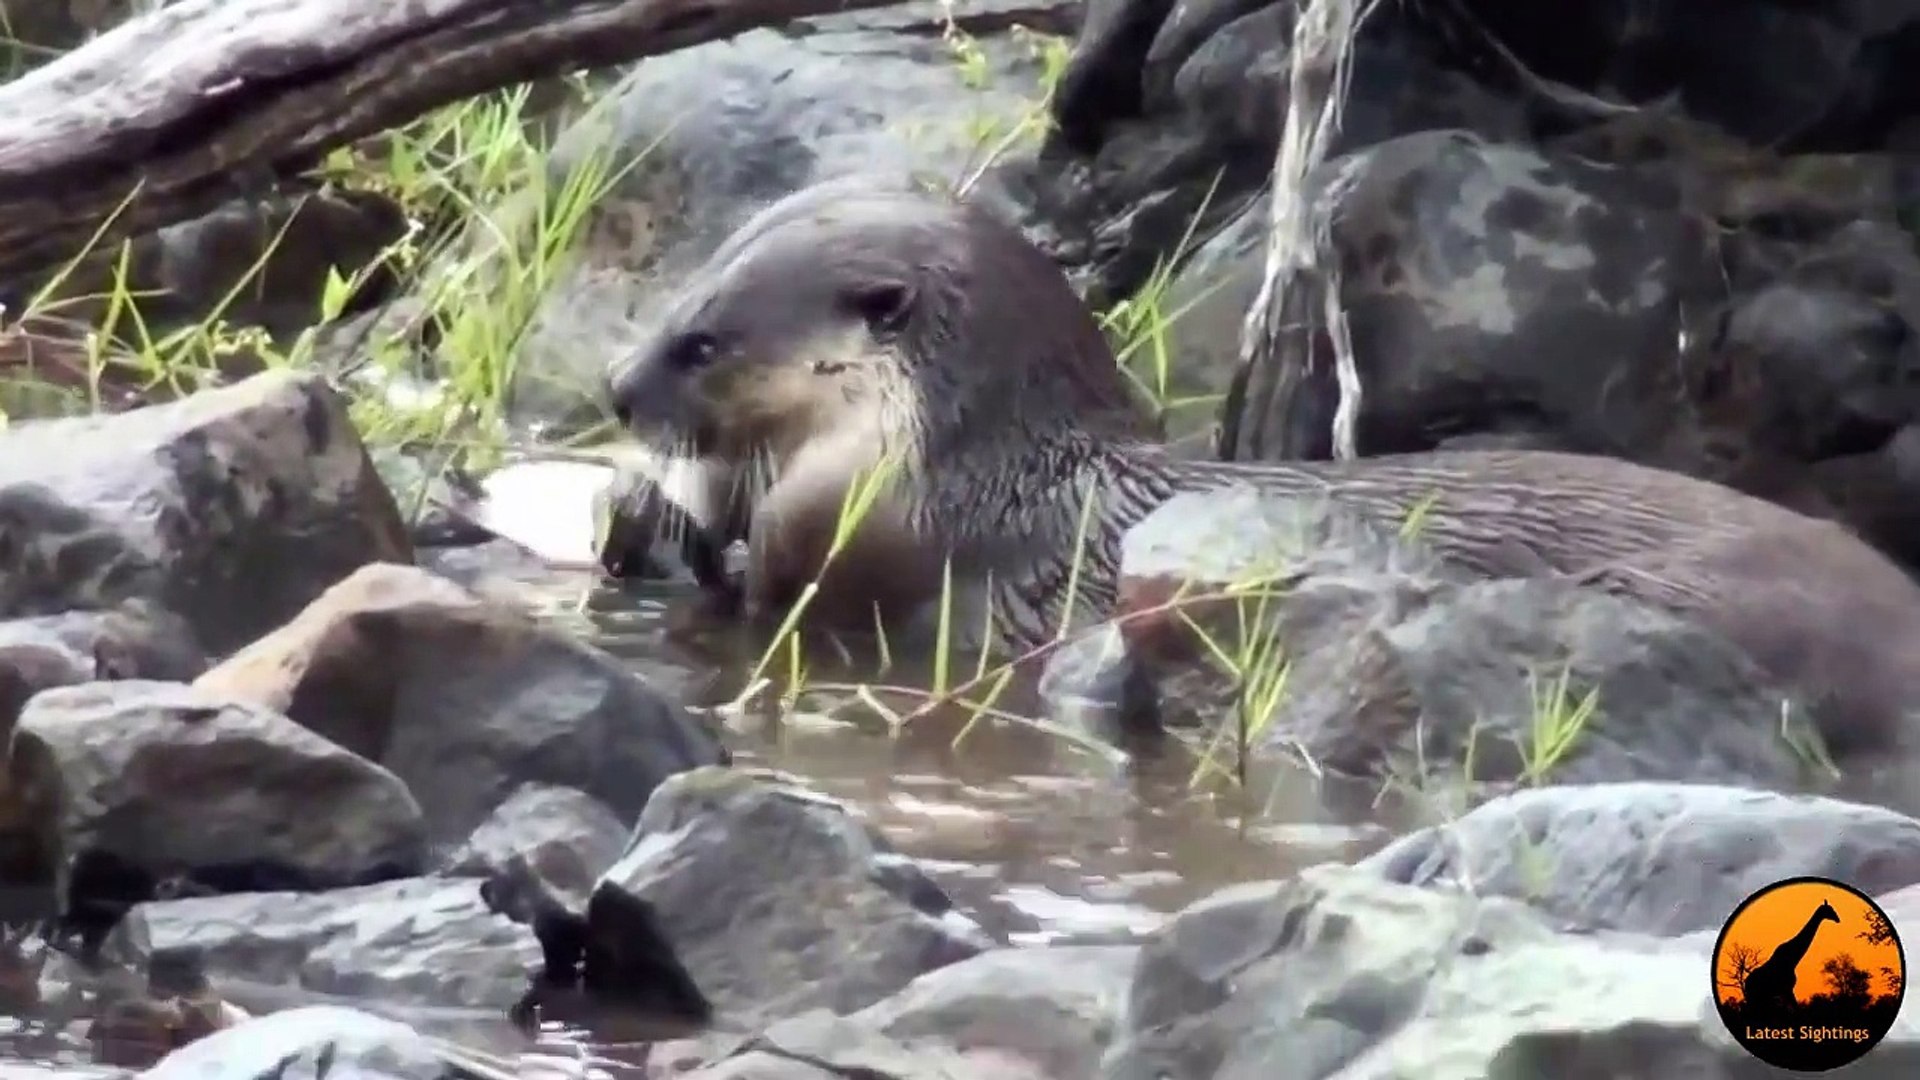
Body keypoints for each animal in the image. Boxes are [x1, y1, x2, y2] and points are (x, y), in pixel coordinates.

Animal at [603, 174, 1920, 757]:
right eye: (680, 297)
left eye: (701, 340)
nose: (615, 389)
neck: (971, 467)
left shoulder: (858, 541)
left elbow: (767, 595)